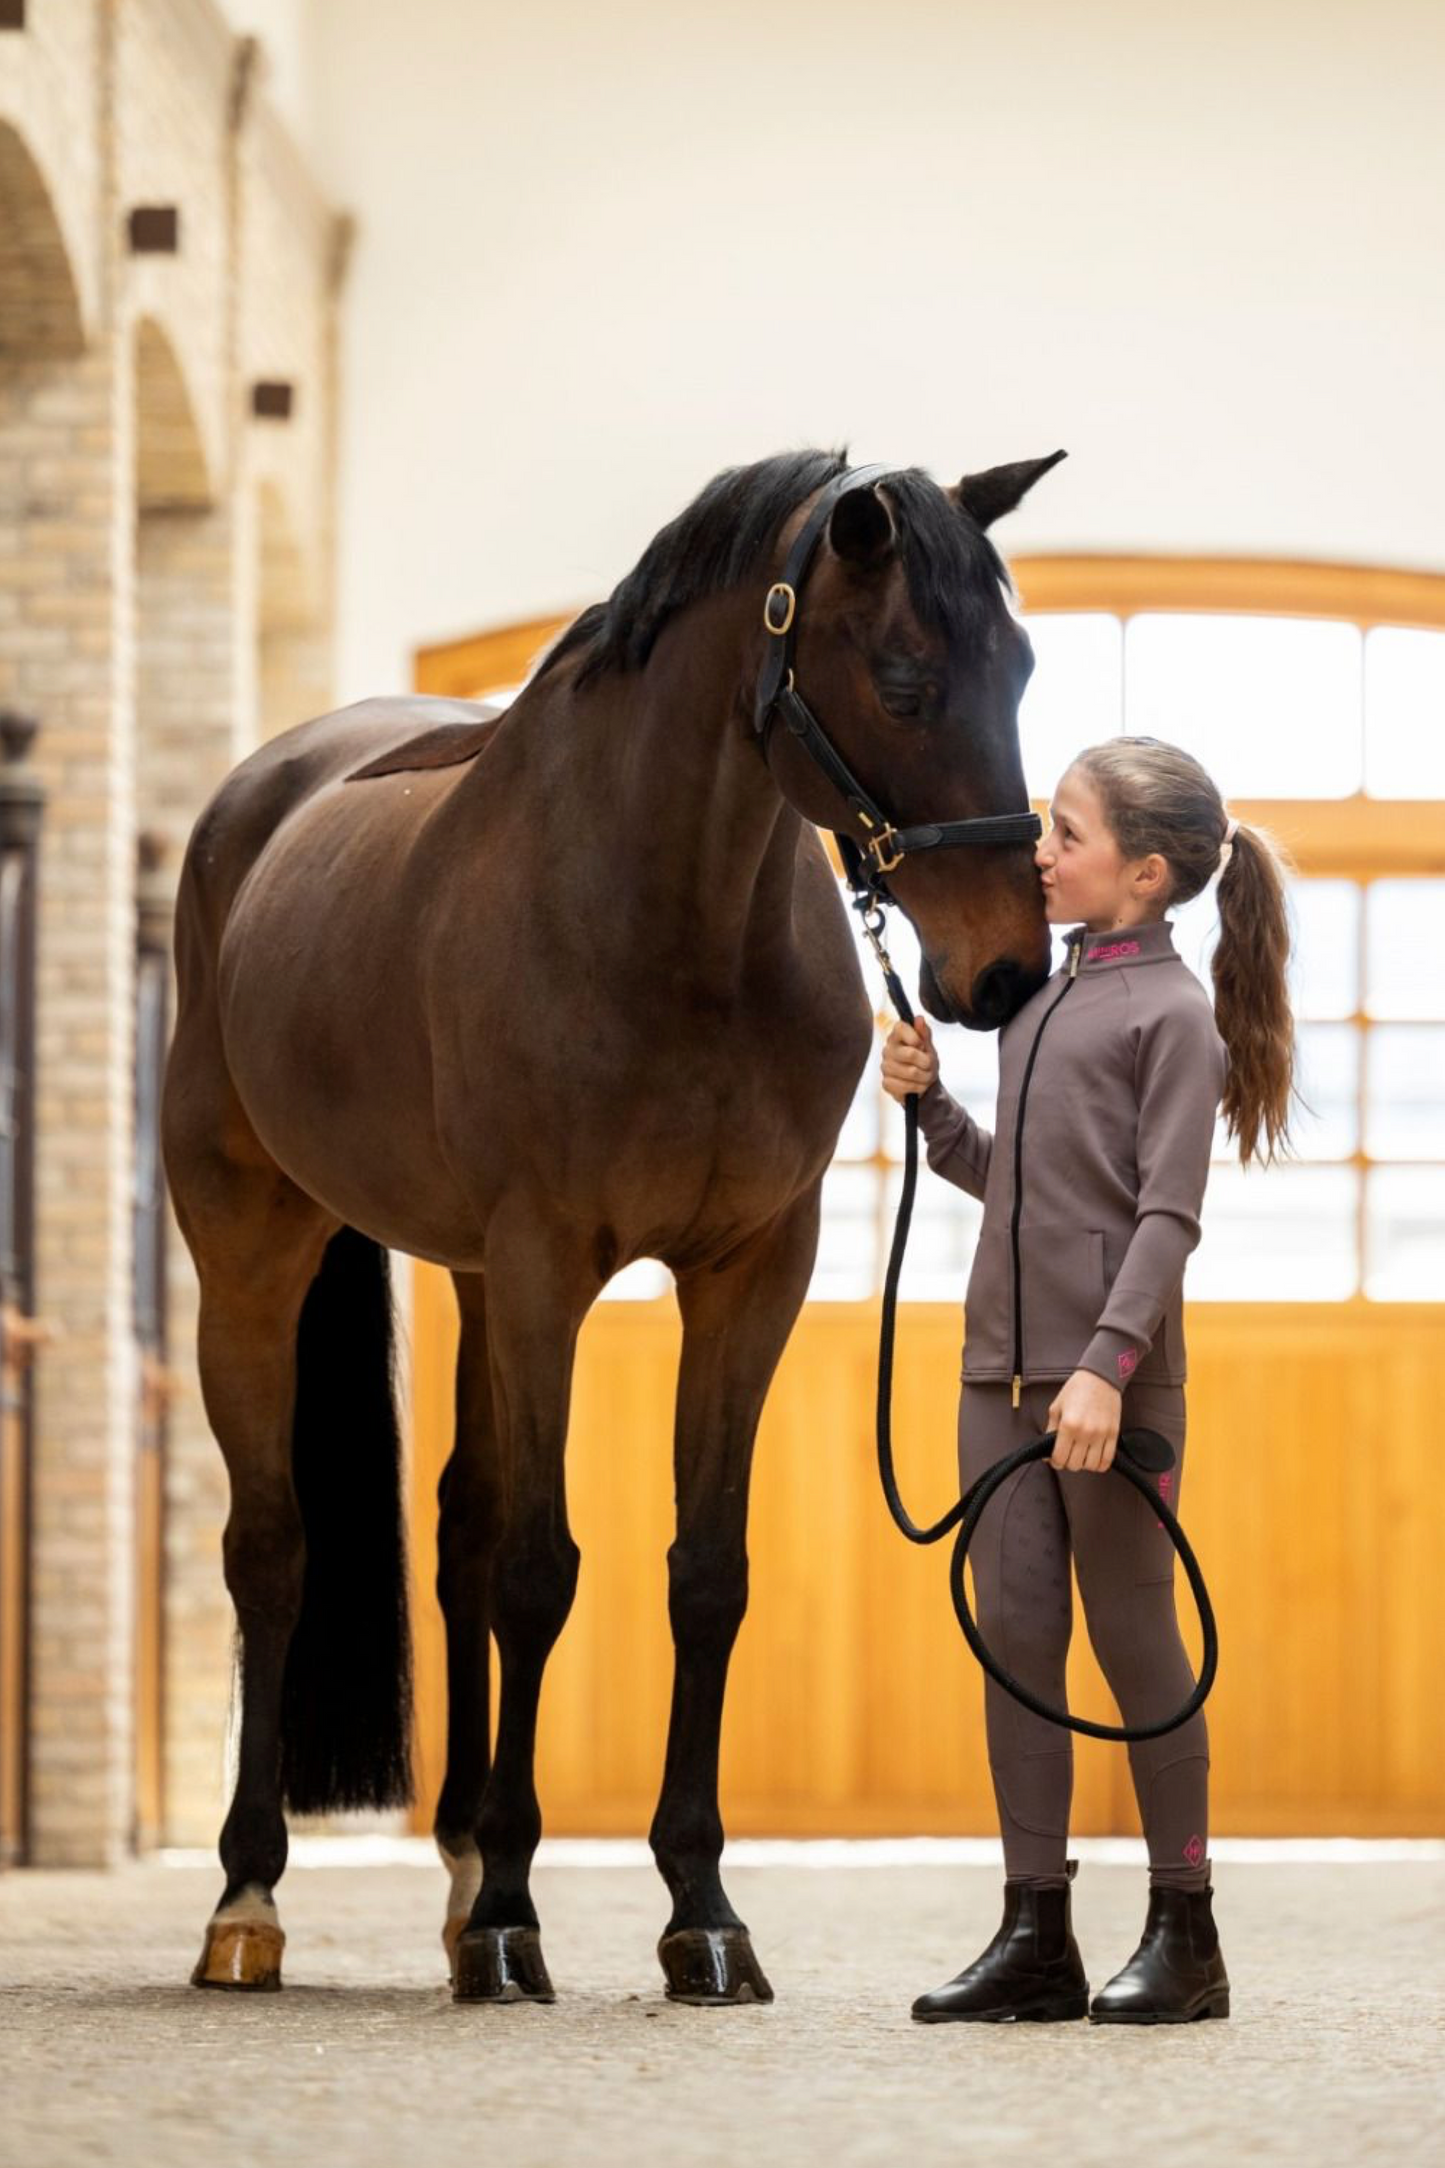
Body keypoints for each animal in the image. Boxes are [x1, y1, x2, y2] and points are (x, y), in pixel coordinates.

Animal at [166, 453, 1061, 1994]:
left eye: (1017, 668)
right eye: (902, 681)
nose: (1007, 970)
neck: (667, 923)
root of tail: (255, 806)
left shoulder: (749, 1271)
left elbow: (702, 1575)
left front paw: (698, 1910)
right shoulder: (546, 1264)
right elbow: (541, 1575)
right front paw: (518, 1918)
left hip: (465, 1279)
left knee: (457, 1531)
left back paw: (457, 1873)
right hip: (252, 1251)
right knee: (272, 1549)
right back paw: (251, 1897)